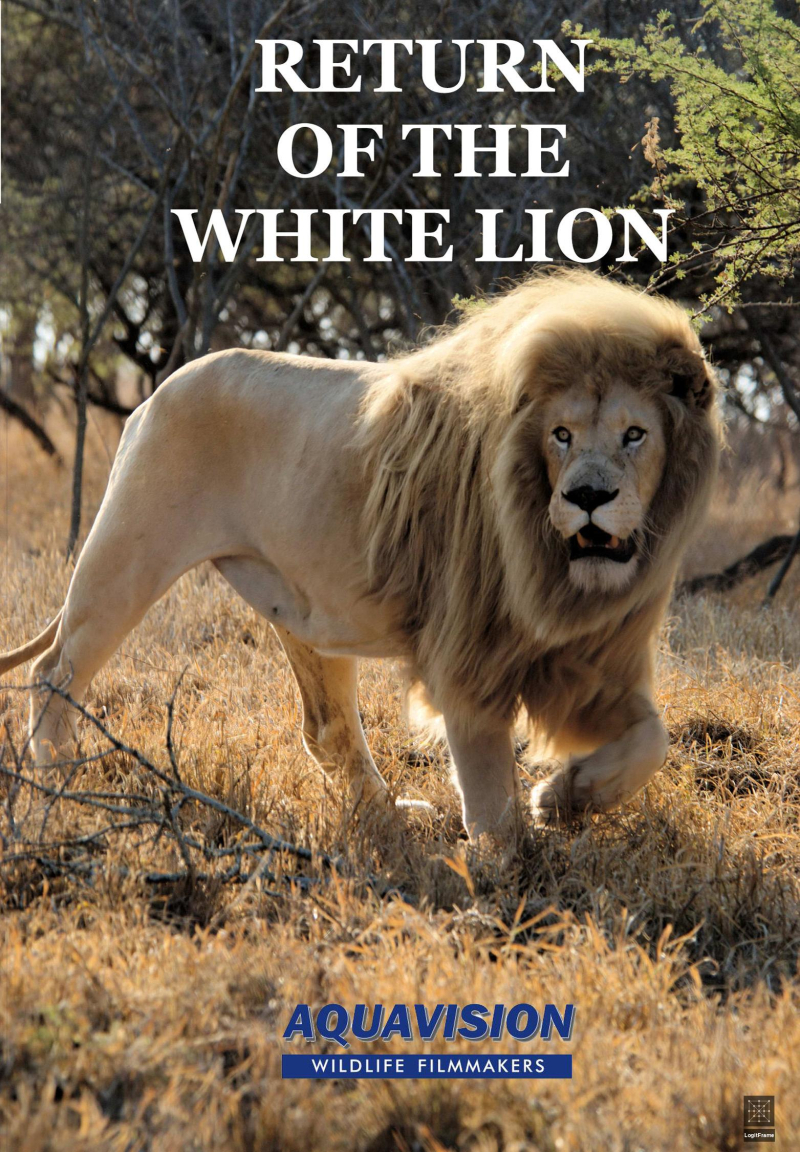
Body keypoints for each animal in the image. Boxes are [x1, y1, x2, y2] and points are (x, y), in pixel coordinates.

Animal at [0, 270, 720, 838]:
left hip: (303, 608)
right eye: (561, 435)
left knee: (327, 729)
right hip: (127, 556)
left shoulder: (595, 656)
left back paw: (392, 816)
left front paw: (565, 799)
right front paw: (510, 871)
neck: (558, 568)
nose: (589, 497)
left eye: (635, 434)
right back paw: (60, 785)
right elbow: (488, 784)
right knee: (53, 672)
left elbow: (653, 740)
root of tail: (156, 391)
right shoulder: (469, 651)